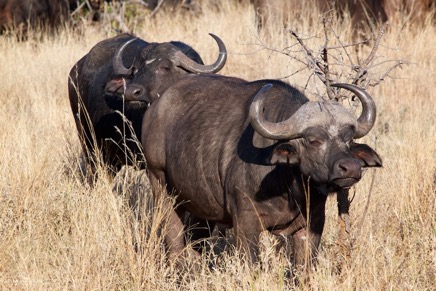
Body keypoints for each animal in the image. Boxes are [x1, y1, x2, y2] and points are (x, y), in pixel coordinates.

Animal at [143, 74, 382, 270]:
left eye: (348, 140)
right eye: (313, 140)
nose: (351, 167)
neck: (287, 187)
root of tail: (155, 109)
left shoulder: (311, 225)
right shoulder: (246, 224)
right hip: (161, 186)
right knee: (174, 239)